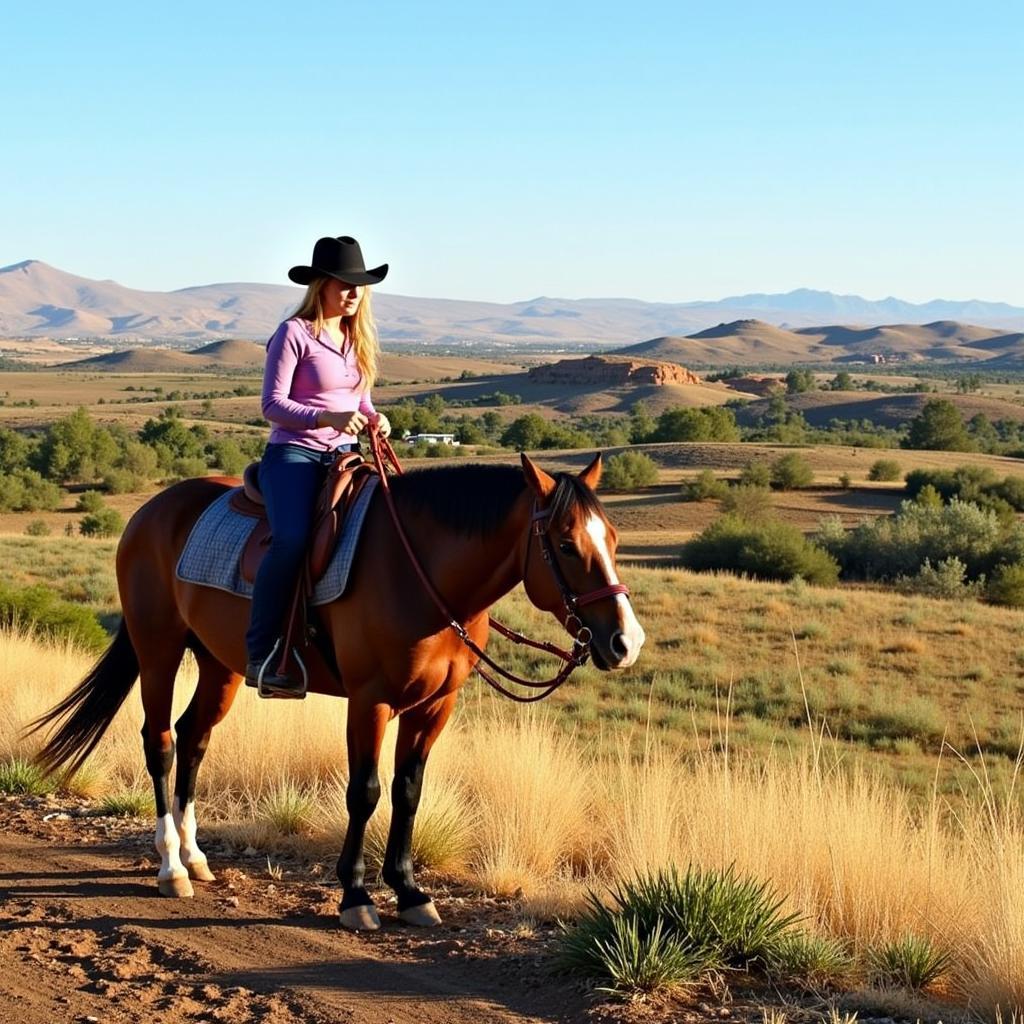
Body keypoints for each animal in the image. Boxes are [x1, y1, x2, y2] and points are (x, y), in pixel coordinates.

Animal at [34, 452, 647, 933]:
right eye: (565, 545)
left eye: (614, 540)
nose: (626, 642)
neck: (420, 571)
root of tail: (151, 511)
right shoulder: (369, 700)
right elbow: (366, 792)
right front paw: (355, 897)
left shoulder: (434, 706)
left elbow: (408, 791)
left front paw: (409, 892)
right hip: (158, 647)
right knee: (159, 742)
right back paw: (172, 868)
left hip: (218, 664)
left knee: (194, 737)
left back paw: (195, 855)